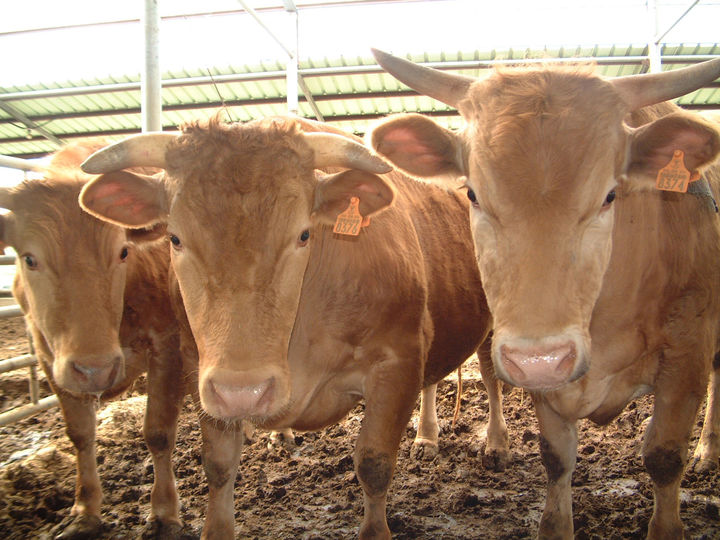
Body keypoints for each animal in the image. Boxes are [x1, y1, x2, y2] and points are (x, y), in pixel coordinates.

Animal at [0, 141, 188, 536]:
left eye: (123, 251)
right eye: (29, 258)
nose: (95, 370)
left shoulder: (168, 346)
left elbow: (158, 432)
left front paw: (164, 513)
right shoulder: (50, 360)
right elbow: (81, 434)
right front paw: (86, 509)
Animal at [76, 115, 504, 540]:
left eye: (303, 234)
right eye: (175, 238)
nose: (243, 392)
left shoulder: (398, 361)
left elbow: (374, 462)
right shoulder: (198, 369)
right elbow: (219, 465)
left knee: (489, 376)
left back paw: (495, 444)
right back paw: (426, 437)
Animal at [368, 48, 720, 536]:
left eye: (610, 195)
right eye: (472, 194)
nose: (540, 360)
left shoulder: (688, 354)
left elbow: (665, 458)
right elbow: (556, 461)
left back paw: (708, 452)